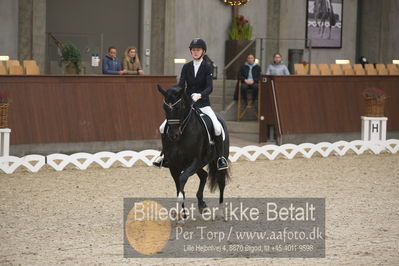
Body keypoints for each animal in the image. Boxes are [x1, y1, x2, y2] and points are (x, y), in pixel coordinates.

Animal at [157, 85, 231, 216]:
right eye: (164, 108)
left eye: (179, 107)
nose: (173, 135)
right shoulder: (173, 166)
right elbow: (178, 185)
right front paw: (182, 213)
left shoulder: (194, 161)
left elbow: (182, 179)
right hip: (196, 166)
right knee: (204, 175)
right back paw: (202, 205)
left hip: (218, 161)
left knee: (221, 182)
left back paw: (221, 211)